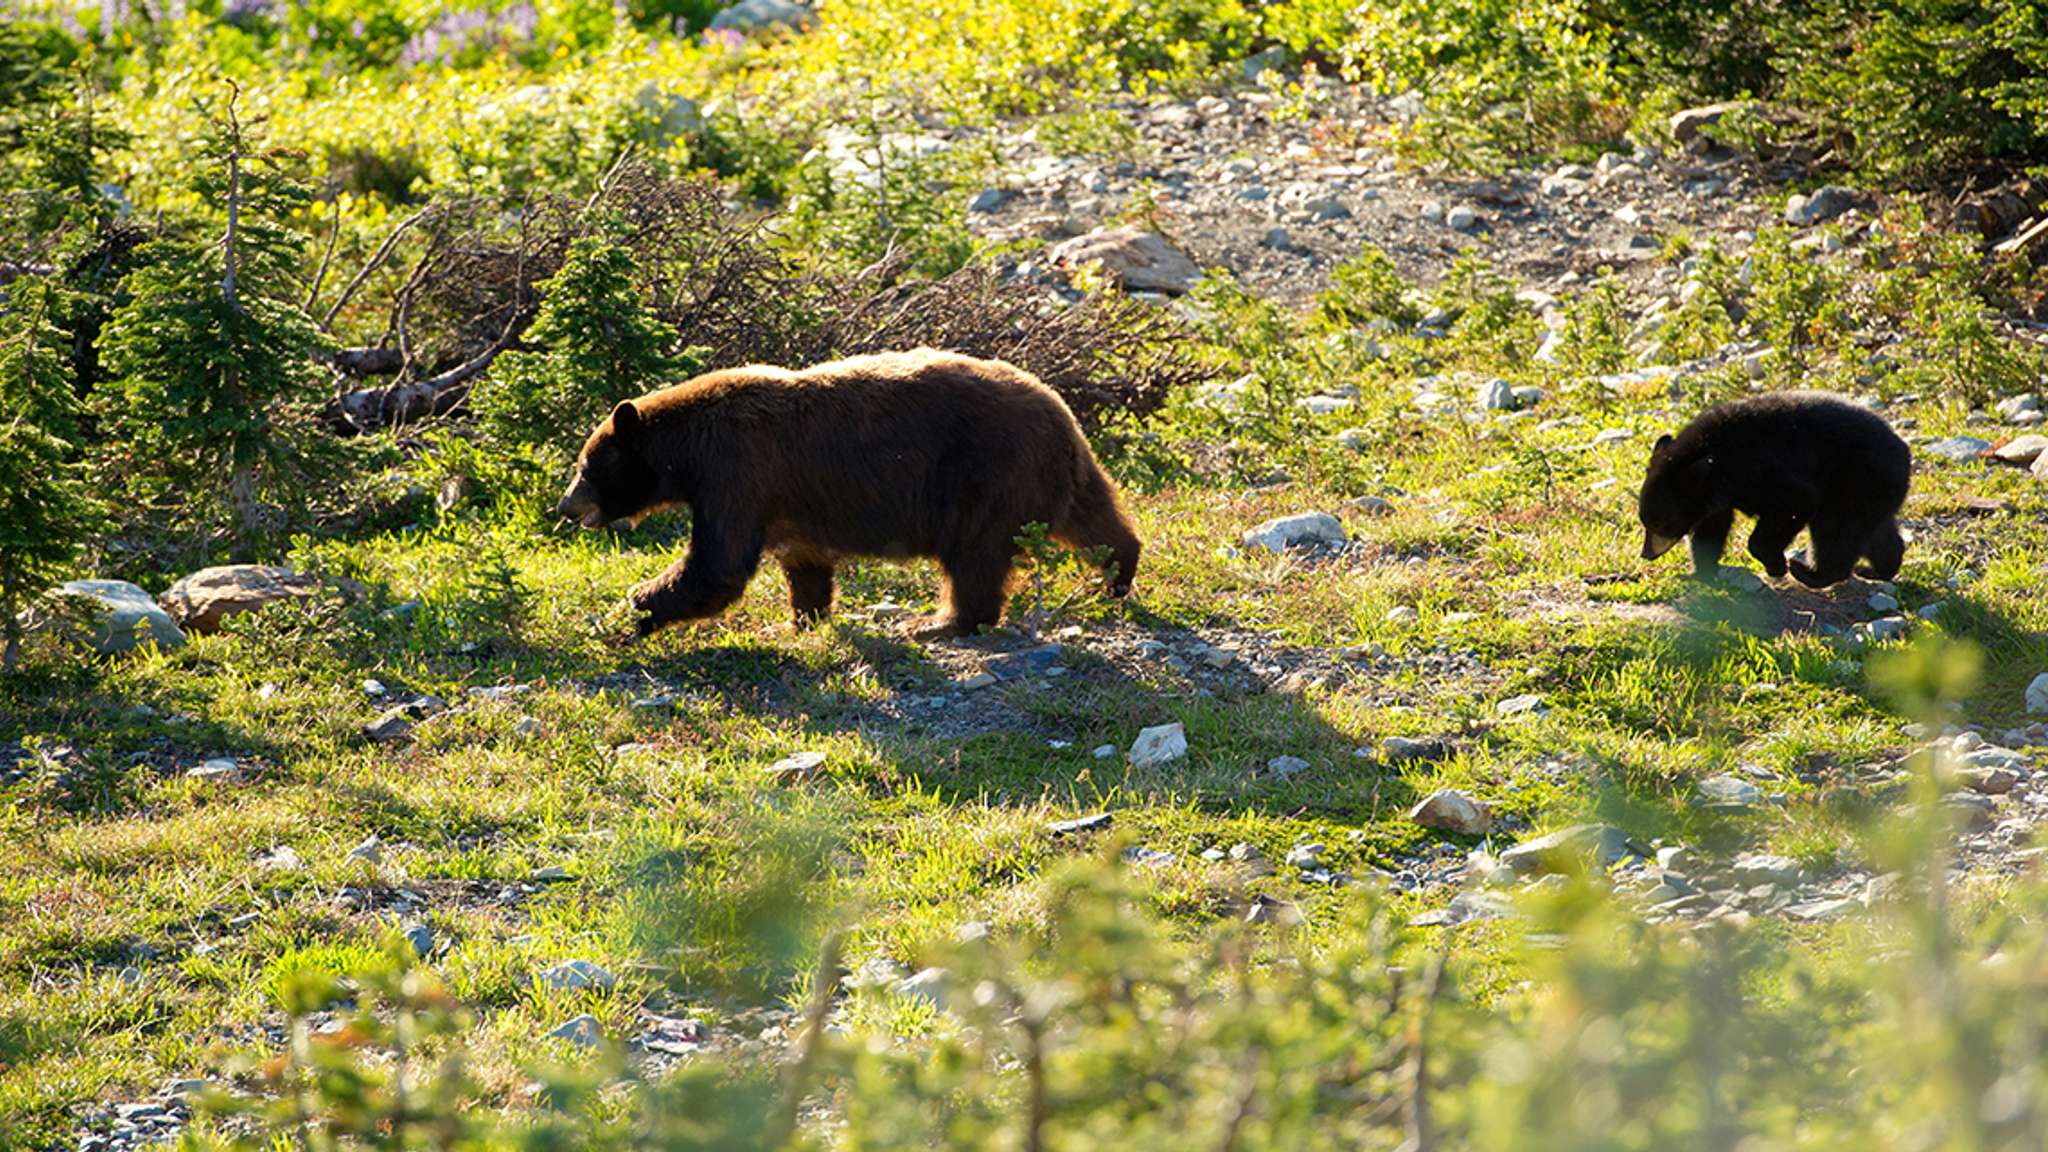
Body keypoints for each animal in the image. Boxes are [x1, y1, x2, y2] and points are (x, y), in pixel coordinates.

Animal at [553, 348, 1143, 637]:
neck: (688, 449)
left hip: (984, 474)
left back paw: (939, 622)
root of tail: (1061, 413)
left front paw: (622, 616)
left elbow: (717, 564)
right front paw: (800, 619)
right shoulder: (781, 499)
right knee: (1095, 520)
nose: (565, 507)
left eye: (585, 466)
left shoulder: (736, 472)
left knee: (973, 556)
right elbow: (804, 562)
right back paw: (1116, 574)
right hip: (1059, 473)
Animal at [1637, 390, 1910, 588]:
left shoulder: (1763, 470)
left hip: (1856, 482)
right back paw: (1879, 569)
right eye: (1645, 523)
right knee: (1874, 532)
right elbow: (1710, 529)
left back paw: (1811, 573)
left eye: (1662, 524)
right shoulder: (1715, 497)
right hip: (1873, 492)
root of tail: (1904, 452)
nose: (1646, 554)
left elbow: (1797, 501)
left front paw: (1776, 565)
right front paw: (1700, 573)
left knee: (1836, 530)